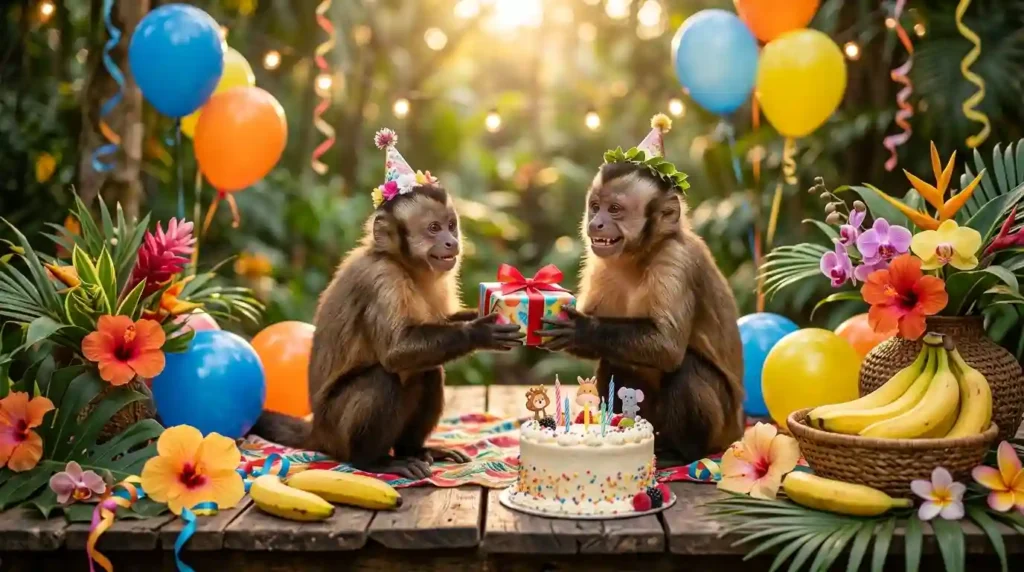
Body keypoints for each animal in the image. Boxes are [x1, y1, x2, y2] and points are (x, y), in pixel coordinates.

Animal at [252, 184, 524, 479]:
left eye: (451, 226)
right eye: (434, 228)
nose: (452, 241)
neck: (404, 264)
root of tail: (318, 431)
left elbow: (441, 322)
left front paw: (479, 315)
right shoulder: (382, 279)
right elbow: (396, 352)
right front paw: (479, 332)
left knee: (428, 372)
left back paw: (412, 450)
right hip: (336, 430)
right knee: (384, 378)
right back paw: (374, 461)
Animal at [538, 160, 745, 467]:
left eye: (614, 209)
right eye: (595, 206)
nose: (595, 223)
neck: (639, 256)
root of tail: (738, 431)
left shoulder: (674, 261)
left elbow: (668, 347)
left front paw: (582, 329)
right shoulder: (600, 264)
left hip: (722, 433)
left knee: (685, 368)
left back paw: (683, 453)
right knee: (615, 361)